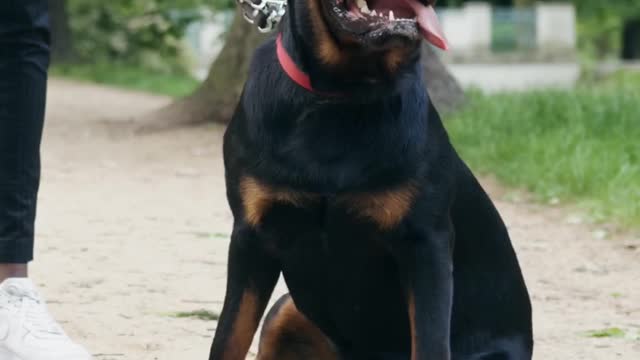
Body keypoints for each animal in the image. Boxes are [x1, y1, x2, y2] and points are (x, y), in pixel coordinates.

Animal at [208, 0, 532, 358]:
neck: (341, 95)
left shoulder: (425, 243)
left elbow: (430, 342)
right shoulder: (251, 238)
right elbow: (228, 337)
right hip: (284, 310)